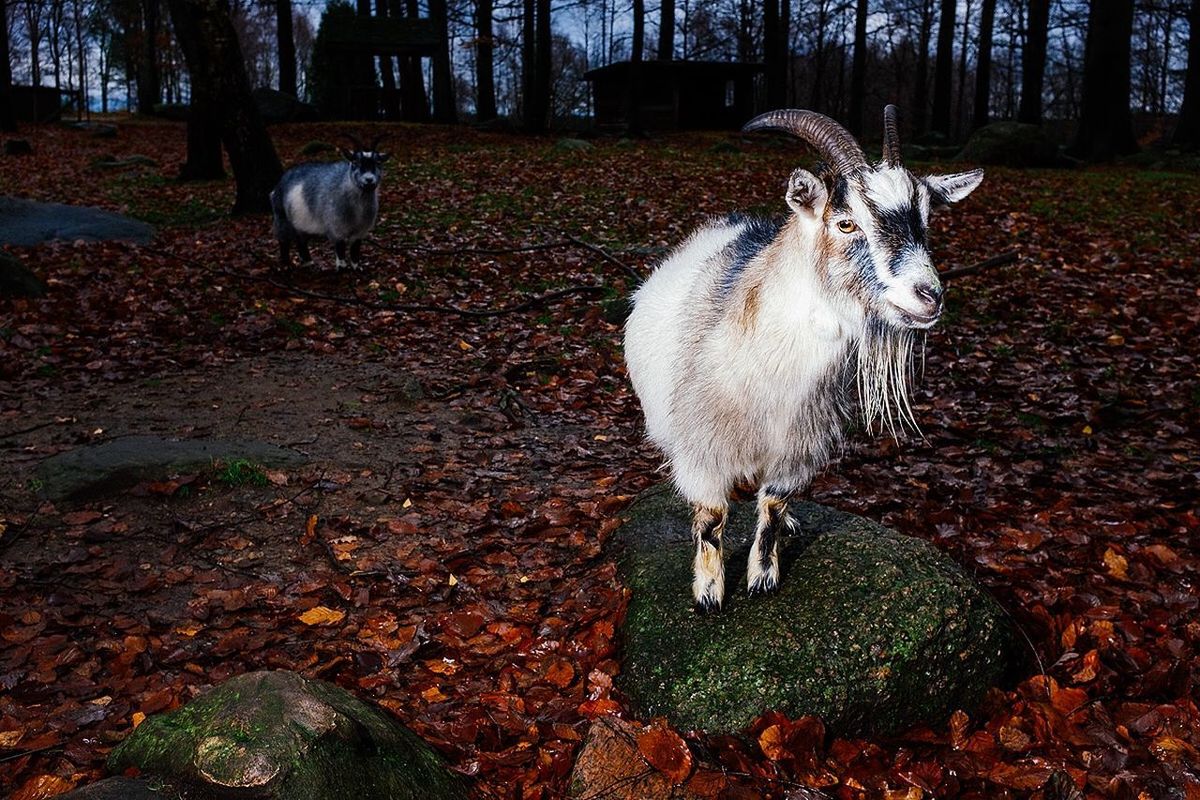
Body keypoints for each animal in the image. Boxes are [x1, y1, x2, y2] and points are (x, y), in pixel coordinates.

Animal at [268, 131, 388, 268]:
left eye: (378, 162)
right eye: (355, 162)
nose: (369, 180)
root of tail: (277, 186)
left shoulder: (360, 232)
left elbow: (355, 253)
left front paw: (357, 268)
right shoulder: (336, 229)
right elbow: (341, 254)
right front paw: (342, 268)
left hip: (300, 223)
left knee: (300, 241)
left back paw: (308, 262)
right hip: (281, 217)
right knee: (284, 241)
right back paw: (286, 265)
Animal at [624, 106, 979, 614]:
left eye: (926, 221)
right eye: (846, 223)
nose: (929, 296)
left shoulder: (798, 447)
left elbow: (773, 506)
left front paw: (763, 576)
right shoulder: (701, 447)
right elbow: (711, 517)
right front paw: (709, 593)